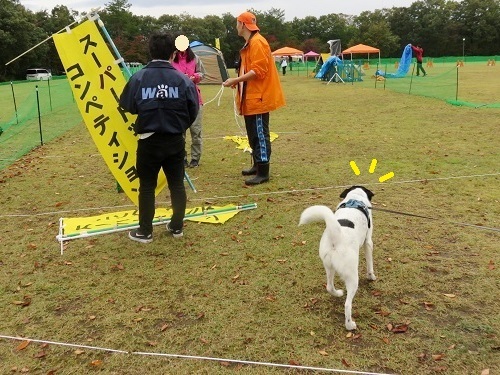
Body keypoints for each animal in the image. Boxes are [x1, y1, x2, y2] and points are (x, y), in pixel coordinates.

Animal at [296, 187, 376, 330]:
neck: (355, 198)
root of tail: (336, 236)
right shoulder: (368, 242)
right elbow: (370, 265)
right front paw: (371, 276)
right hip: (352, 276)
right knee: (347, 304)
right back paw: (350, 325)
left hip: (329, 266)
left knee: (329, 287)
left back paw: (338, 293)